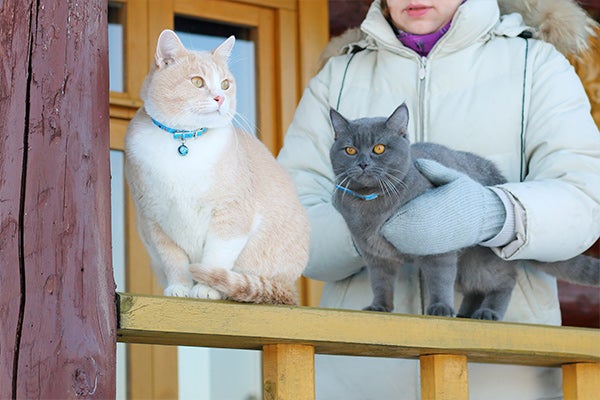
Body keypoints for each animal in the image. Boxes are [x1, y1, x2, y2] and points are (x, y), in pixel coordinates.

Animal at [122, 29, 310, 304]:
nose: (220, 98)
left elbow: (215, 258)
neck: (183, 141)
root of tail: (288, 287)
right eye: (197, 82)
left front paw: (205, 289)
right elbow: (175, 262)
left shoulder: (231, 215)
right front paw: (179, 289)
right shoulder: (154, 221)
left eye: (225, 84)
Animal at [330, 104, 596, 322]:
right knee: (474, 289)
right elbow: (380, 283)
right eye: (350, 150)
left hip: (482, 260)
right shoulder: (375, 255)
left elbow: (439, 280)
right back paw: (466, 314)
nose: (363, 163)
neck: (371, 206)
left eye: (379, 148)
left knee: (503, 281)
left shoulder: (438, 247)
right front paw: (379, 307)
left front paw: (439, 308)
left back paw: (488, 313)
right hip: (467, 265)